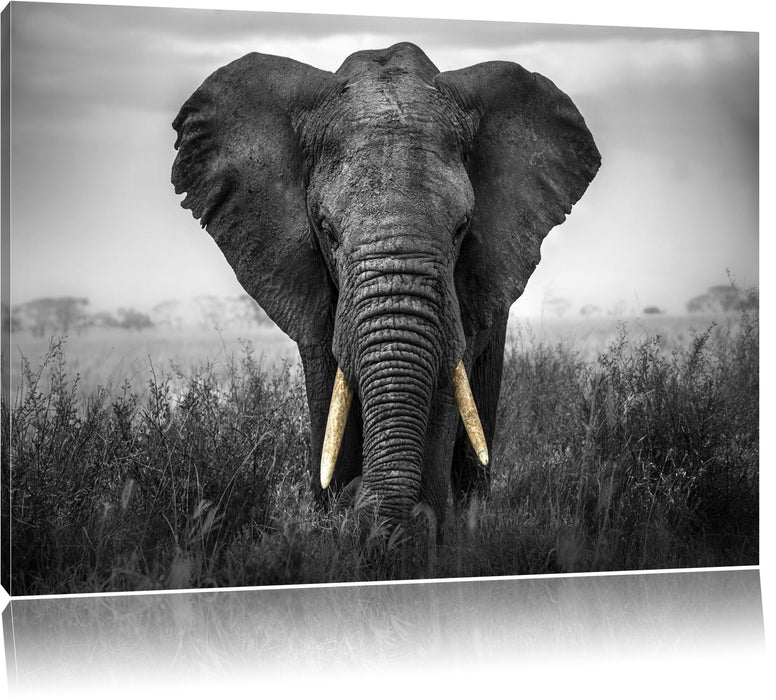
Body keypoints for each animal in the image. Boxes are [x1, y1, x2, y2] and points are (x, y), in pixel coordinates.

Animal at [171, 42, 600, 529]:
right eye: (327, 230)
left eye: (462, 228)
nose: (359, 502)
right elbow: (328, 383)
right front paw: (335, 516)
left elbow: (445, 384)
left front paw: (414, 530)